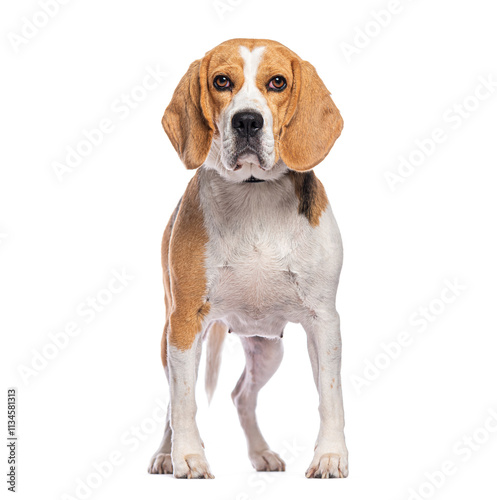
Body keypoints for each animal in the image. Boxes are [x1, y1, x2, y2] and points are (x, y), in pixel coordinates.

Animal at [148, 38, 344, 476]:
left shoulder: (324, 320)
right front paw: (189, 457)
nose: (248, 122)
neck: (254, 194)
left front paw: (330, 456)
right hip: (173, 339)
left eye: (278, 82)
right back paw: (167, 454)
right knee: (172, 402)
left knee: (241, 395)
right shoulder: (185, 320)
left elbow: (330, 395)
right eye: (222, 81)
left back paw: (261, 453)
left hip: (268, 348)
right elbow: (183, 402)